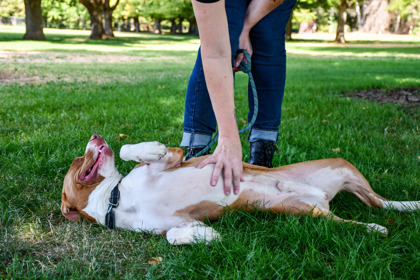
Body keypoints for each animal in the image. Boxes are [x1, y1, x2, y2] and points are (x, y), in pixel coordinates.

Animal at [62, 135, 420, 244]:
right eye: (79, 160)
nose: (95, 137)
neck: (117, 199)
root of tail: (321, 197)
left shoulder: (173, 160)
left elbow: (130, 150)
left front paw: (150, 148)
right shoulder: (175, 222)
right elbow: (173, 236)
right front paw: (208, 237)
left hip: (343, 166)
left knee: (380, 201)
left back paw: (409, 206)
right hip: (307, 212)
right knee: (365, 214)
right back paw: (375, 227)